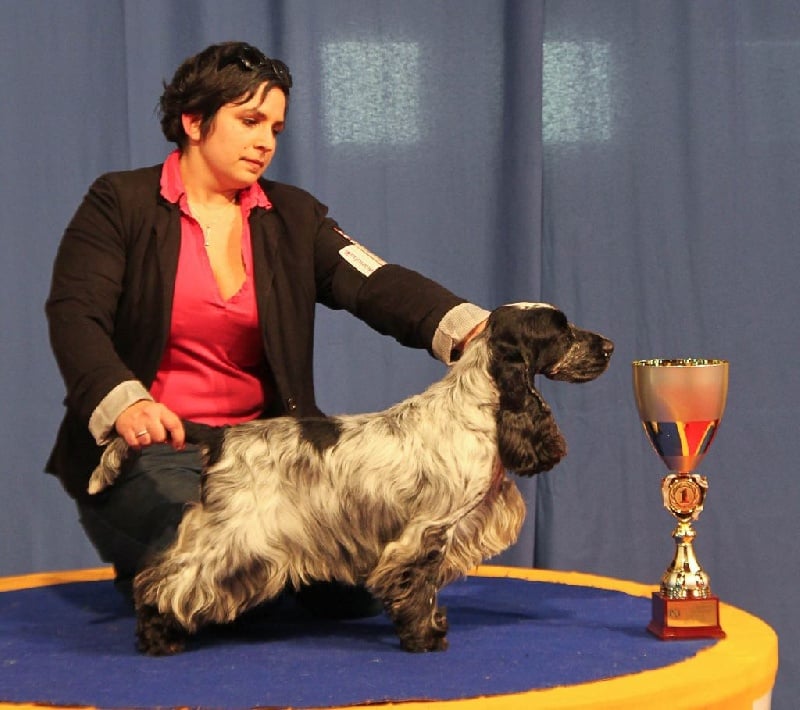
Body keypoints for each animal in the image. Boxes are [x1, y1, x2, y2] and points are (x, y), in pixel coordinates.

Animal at [89, 303, 613, 655]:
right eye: (561, 330)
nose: (609, 346)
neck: (479, 406)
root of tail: (220, 437)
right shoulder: (428, 530)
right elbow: (419, 585)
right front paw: (426, 637)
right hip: (238, 534)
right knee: (166, 580)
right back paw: (159, 637)